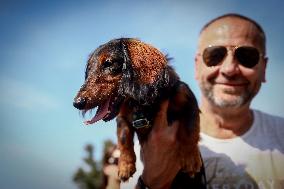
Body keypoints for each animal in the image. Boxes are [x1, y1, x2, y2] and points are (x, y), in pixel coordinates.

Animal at [73, 37, 202, 184]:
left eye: (108, 63)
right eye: (88, 70)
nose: (77, 103)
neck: (139, 102)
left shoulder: (187, 97)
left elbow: (189, 130)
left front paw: (191, 159)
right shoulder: (122, 118)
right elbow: (124, 139)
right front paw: (125, 166)